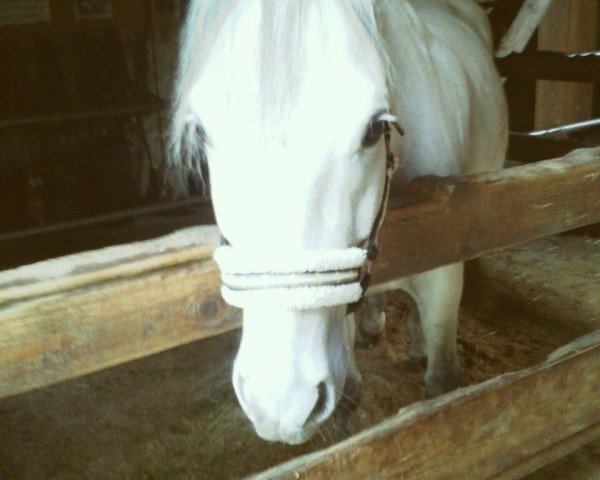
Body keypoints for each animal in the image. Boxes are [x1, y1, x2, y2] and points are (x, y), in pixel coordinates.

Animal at [171, 0, 508, 444]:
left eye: (374, 129)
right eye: (203, 131)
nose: (281, 402)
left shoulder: (444, 274)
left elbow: (444, 387)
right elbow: (349, 397)